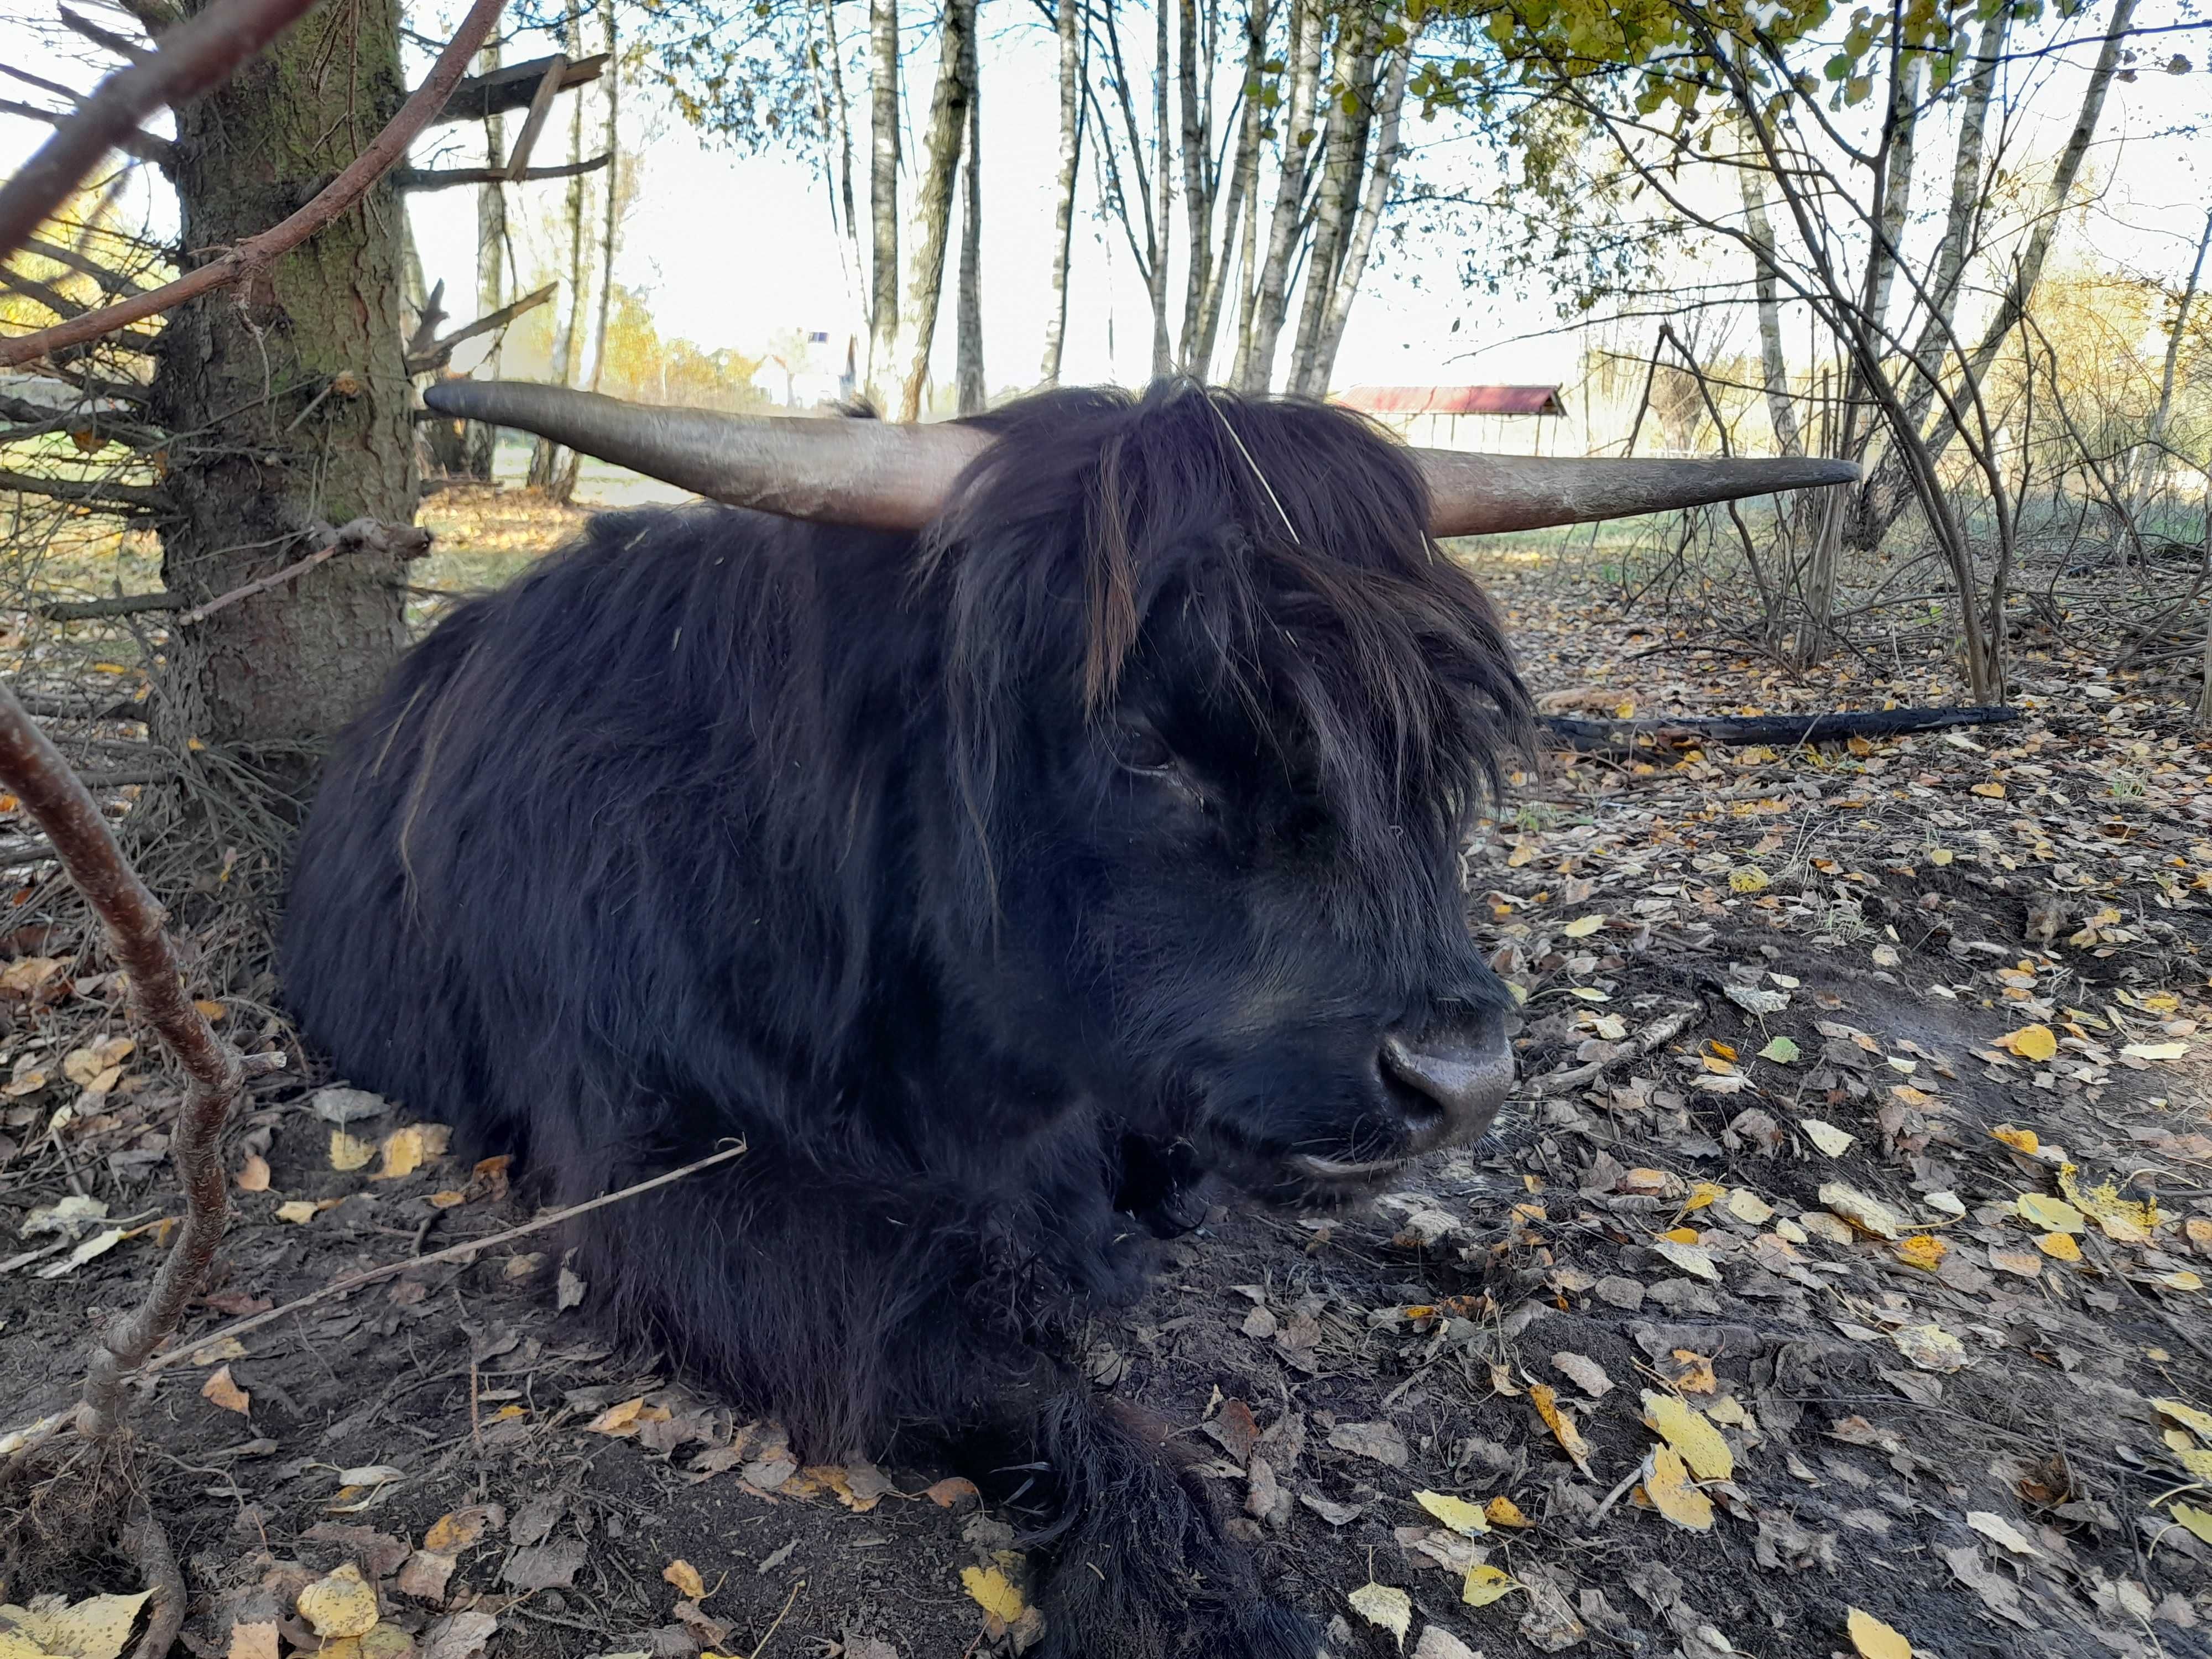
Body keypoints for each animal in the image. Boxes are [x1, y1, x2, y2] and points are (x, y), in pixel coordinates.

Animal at [290, 383, 1849, 1655]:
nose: (1458, 1076)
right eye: (1146, 743)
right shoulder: (655, 1170)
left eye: (1433, 737)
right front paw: (1192, 1599)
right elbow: (991, 1354)